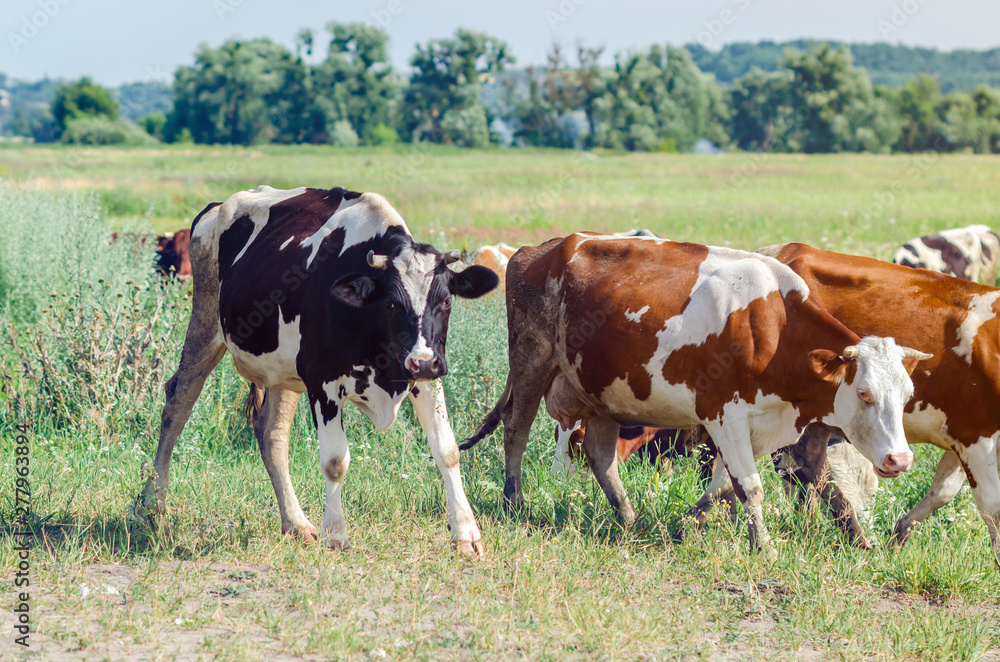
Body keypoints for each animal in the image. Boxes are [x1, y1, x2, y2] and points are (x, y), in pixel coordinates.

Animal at [138, 187, 500, 560]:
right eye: (392, 303)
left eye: (446, 302)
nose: (424, 362)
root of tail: (217, 206)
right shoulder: (322, 382)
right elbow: (335, 460)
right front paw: (336, 535)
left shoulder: (425, 380)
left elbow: (447, 450)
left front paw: (465, 533)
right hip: (205, 323)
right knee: (175, 407)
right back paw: (153, 506)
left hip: (282, 370)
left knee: (271, 437)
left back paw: (295, 523)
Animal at [460, 235, 928, 548]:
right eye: (864, 393)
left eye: (907, 394)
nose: (901, 460)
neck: (773, 328)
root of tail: (539, 248)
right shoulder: (725, 415)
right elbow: (750, 486)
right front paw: (765, 546)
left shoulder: (751, 427)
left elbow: (724, 486)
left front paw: (685, 525)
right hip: (531, 362)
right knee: (516, 430)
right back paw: (515, 504)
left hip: (602, 392)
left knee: (600, 456)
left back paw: (628, 518)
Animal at [756, 244, 1000, 564]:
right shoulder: (975, 433)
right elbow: (992, 507)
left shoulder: (962, 437)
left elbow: (943, 491)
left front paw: (898, 536)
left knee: (807, 463)